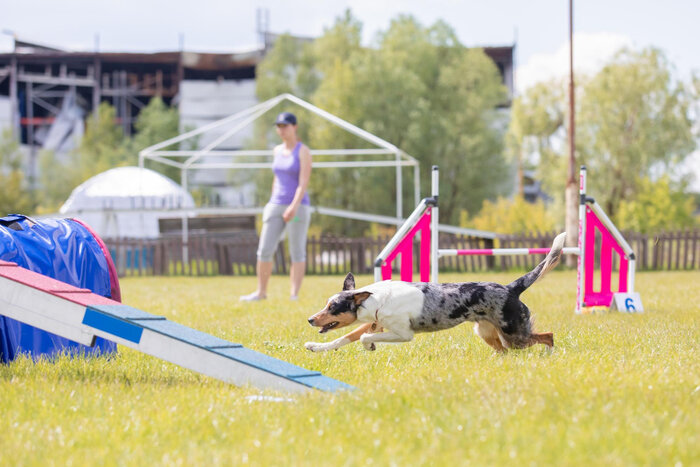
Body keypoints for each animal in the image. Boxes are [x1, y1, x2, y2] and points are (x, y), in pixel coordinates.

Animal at [304, 232, 568, 352]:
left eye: (332, 307)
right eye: (326, 304)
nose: (310, 319)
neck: (377, 301)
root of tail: (511, 287)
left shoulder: (403, 334)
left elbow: (364, 338)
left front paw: (369, 347)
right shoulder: (374, 324)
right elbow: (343, 338)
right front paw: (315, 347)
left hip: (514, 335)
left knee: (548, 336)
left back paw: (548, 356)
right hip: (488, 333)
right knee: (505, 352)